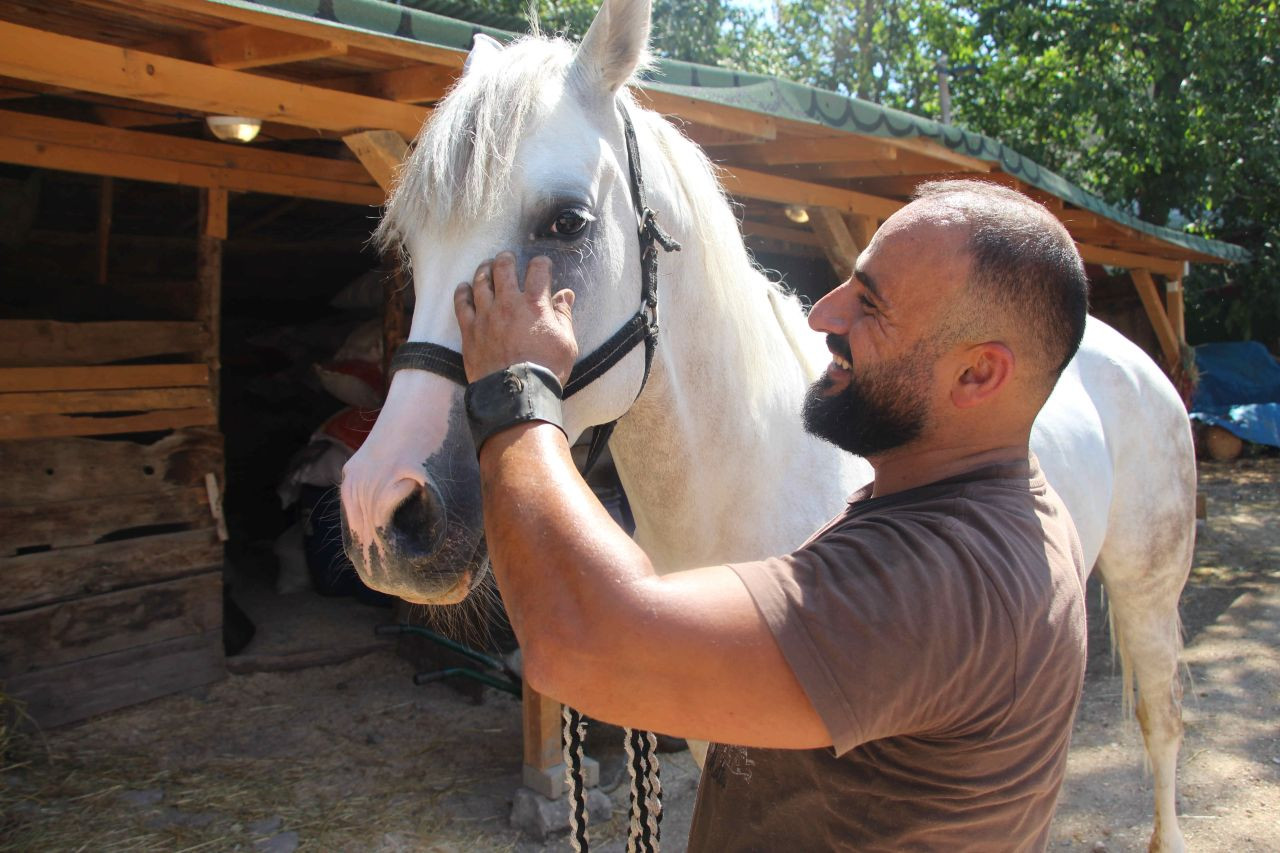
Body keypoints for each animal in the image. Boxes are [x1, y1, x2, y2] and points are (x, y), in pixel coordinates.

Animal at [337, 0, 1187, 845]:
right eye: (413, 243)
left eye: (567, 222)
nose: (377, 505)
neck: (747, 480)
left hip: (1149, 589)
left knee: (1162, 722)